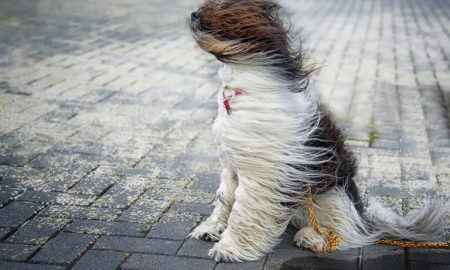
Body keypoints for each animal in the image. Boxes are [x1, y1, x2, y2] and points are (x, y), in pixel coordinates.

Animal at [186, 0, 446, 262]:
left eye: (222, 7)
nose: (193, 14)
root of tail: (362, 216)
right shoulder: (232, 164)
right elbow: (224, 197)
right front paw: (211, 229)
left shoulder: (262, 173)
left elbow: (242, 209)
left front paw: (229, 248)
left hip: (330, 195)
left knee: (345, 229)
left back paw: (314, 237)